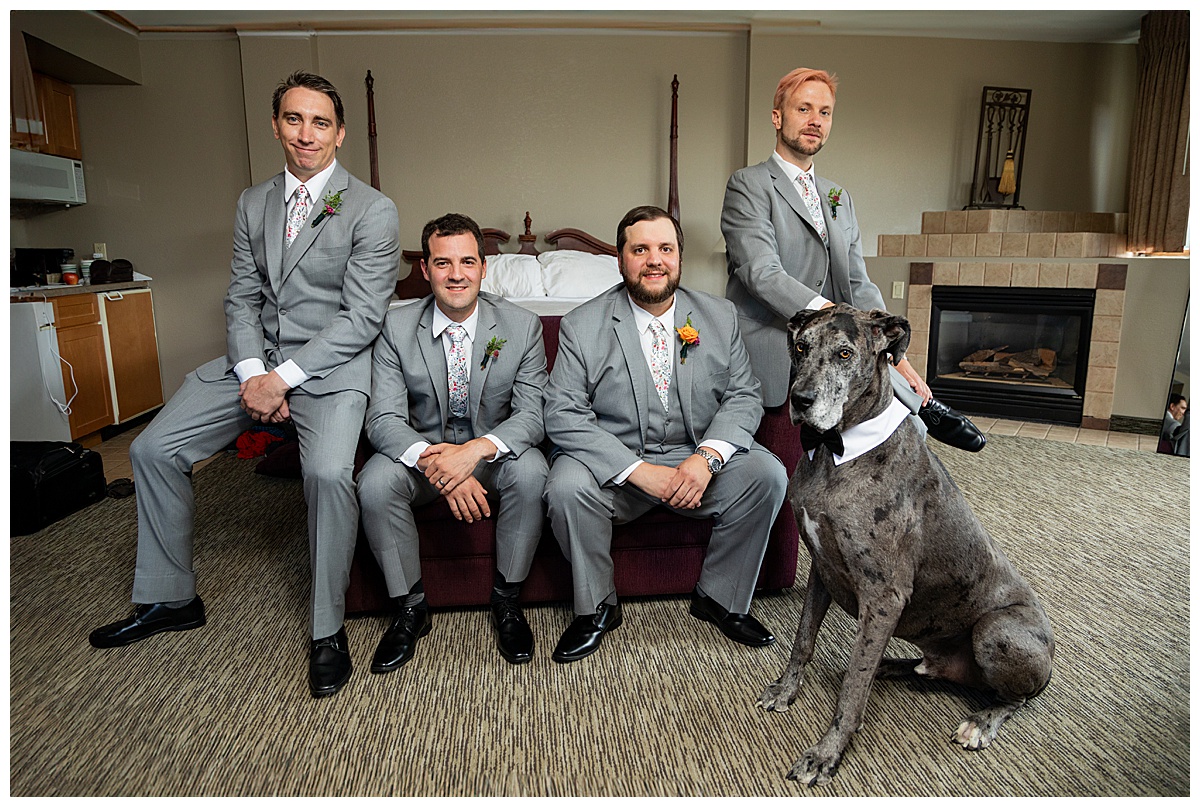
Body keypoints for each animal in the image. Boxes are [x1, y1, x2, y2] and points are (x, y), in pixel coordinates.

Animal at [763, 301, 1056, 782]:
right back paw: (893, 664)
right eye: (801, 347)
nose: (800, 401)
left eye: (845, 354)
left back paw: (980, 721)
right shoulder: (822, 570)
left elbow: (852, 689)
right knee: (919, 668)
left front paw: (826, 754)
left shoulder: (885, 597)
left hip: (997, 631)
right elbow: (803, 640)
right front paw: (786, 691)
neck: (835, 450)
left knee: (1017, 697)